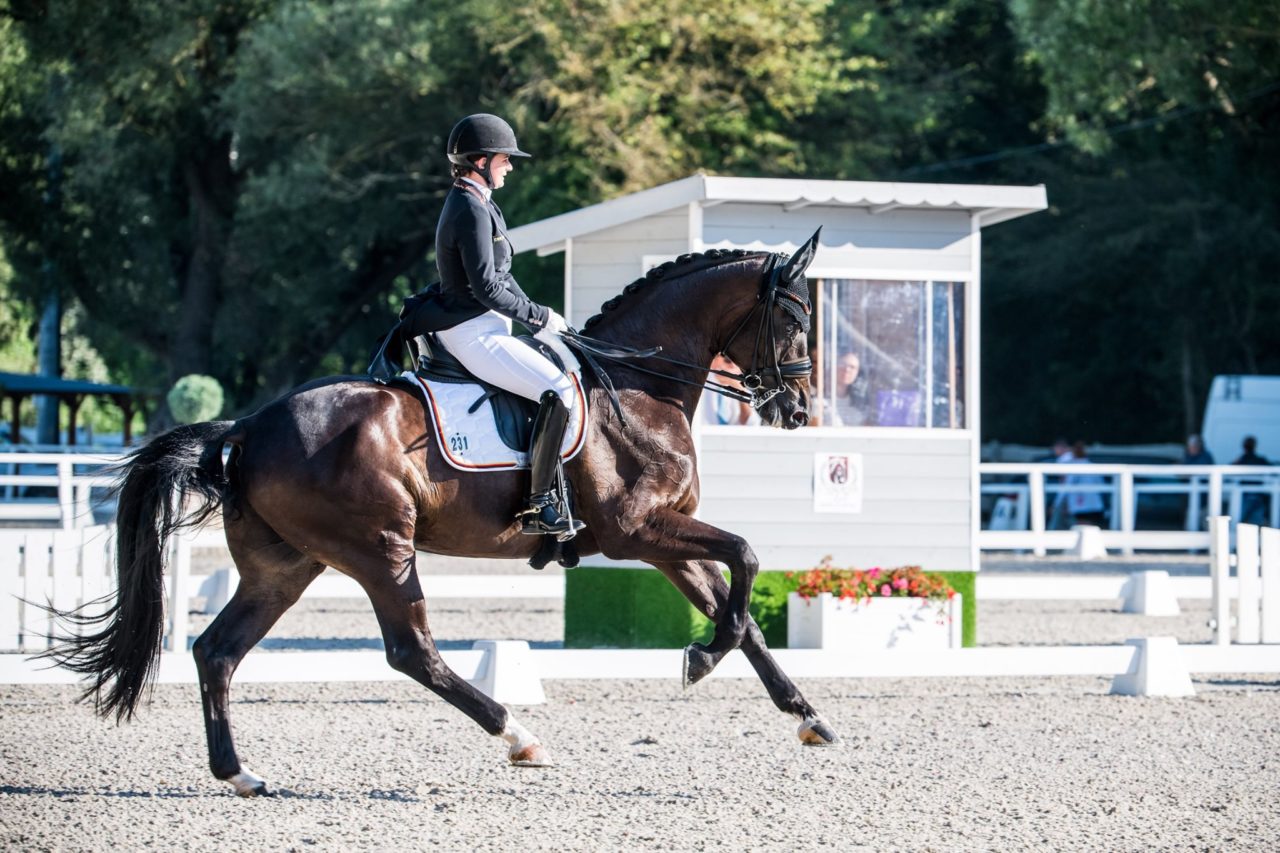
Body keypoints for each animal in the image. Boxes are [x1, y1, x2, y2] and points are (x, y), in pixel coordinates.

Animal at [49, 229, 844, 794]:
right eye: (796, 317)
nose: (797, 408)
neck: (638, 384)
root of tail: (248, 426)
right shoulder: (636, 532)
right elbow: (746, 557)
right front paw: (702, 658)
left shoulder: (659, 540)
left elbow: (741, 610)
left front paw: (806, 715)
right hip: (381, 550)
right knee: (413, 652)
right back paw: (519, 735)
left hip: (286, 565)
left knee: (217, 651)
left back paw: (240, 774)